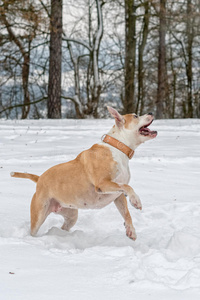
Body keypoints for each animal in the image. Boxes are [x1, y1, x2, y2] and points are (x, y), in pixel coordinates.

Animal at [10, 106, 158, 240]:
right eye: (135, 116)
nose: (151, 112)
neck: (118, 148)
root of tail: (40, 178)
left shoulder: (117, 195)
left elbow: (126, 212)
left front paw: (131, 230)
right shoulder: (102, 184)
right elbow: (128, 187)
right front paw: (136, 200)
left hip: (71, 214)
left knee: (64, 226)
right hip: (39, 213)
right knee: (34, 230)